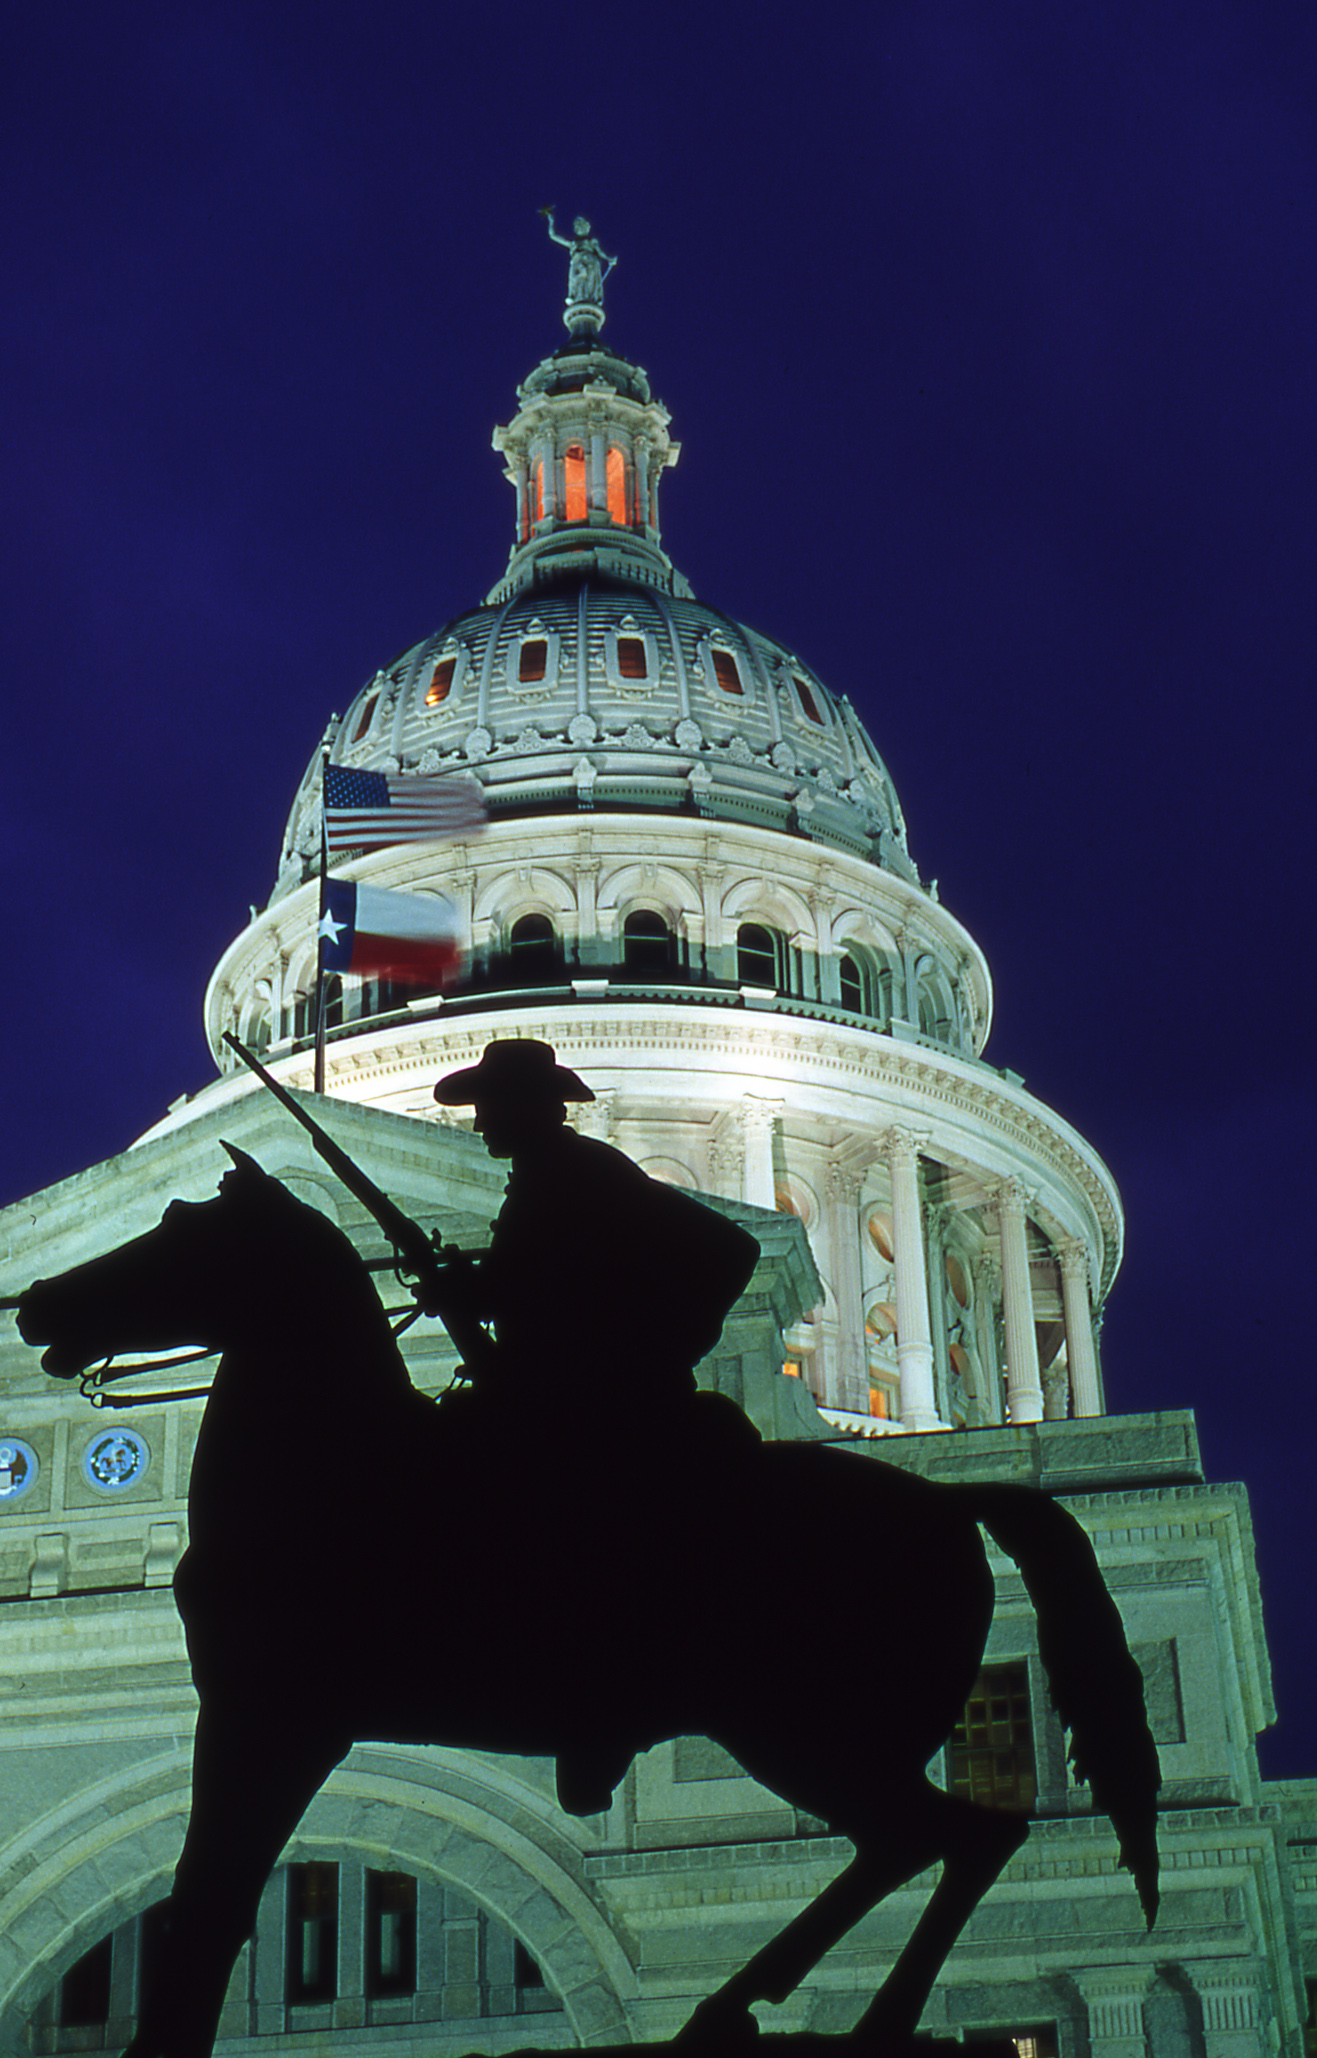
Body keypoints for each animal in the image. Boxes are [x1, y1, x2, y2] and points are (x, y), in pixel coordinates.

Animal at [15, 1152, 1160, 2049]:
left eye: (180, 1231)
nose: (35, 1306)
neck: (340, 1460)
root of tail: (953, 1494)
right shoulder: (275, 1724)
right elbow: (207, 1902)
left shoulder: (270, 1717)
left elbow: (208, 1905)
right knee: (924, 1846)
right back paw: (753, 2006)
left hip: (801, 1739)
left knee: (950, 1841)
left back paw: (813, 2016)